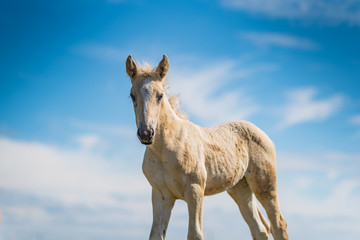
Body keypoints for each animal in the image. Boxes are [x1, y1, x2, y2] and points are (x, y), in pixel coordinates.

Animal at [125, 54, 288, 240]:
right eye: (132, 95)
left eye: (160, 95)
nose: (146, 133)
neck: (165, 149)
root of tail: (263, 134)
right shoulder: (161, 195)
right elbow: (156, 235)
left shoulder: (195, 190)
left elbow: (195, 234)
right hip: (240, 188)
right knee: (260, 229)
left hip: (265, 185)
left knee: (278, 224)